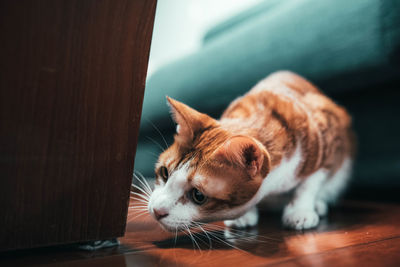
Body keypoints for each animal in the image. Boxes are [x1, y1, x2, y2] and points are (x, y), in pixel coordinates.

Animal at [146, 71, 354, 232]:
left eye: (198, 195)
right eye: (164, 173)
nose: (156, 211)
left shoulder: (329, 139)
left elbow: (309, 183)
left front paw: (300, 211)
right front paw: (243, 216)